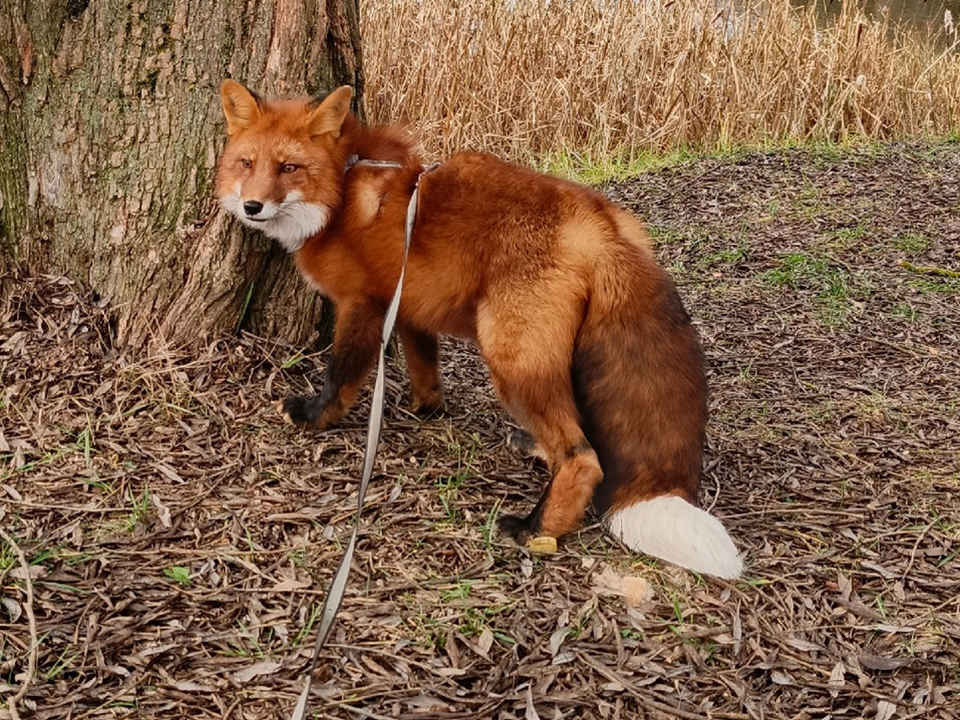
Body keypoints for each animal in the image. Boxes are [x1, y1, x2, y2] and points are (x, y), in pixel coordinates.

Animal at [216, 80, 744, 580]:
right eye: (246, 163)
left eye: (288, 168)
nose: (252, 207)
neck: (343, 190)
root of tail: (599, 226)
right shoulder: (410, 309)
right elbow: (426, 370)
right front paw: (427, 410)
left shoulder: (363, 306)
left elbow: (339, 375)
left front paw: (313, 417)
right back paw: (535, 454)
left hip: (512, 362)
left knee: (583, 456)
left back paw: (536, 529)